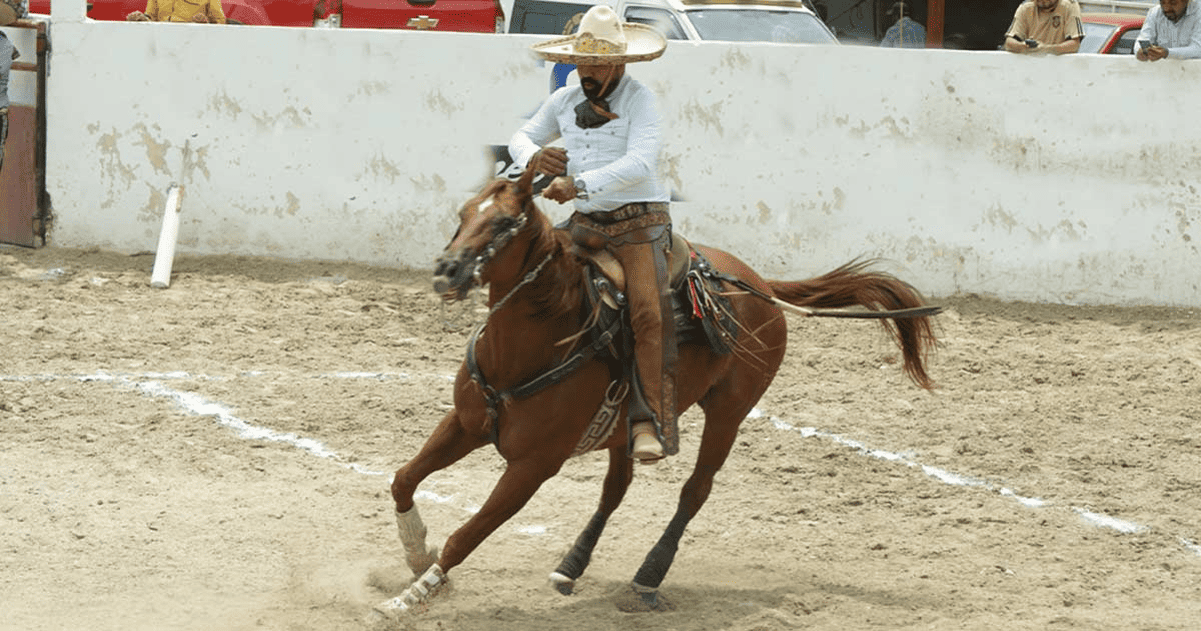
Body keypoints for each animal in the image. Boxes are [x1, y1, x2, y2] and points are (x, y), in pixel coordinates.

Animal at [370, 168, 938, 624]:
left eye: (505, 224)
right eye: (464, 213)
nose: (446, 270)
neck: (533, 343)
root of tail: (757, 285)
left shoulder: (532, 466)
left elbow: (470, 533)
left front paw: (409, 597)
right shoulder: (466, 423)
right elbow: (403, 478)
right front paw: (417, 556)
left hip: (730, 412)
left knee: (695, 490)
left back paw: (647, 577)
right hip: (628, 426)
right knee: (615, 489)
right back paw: (570, 566)